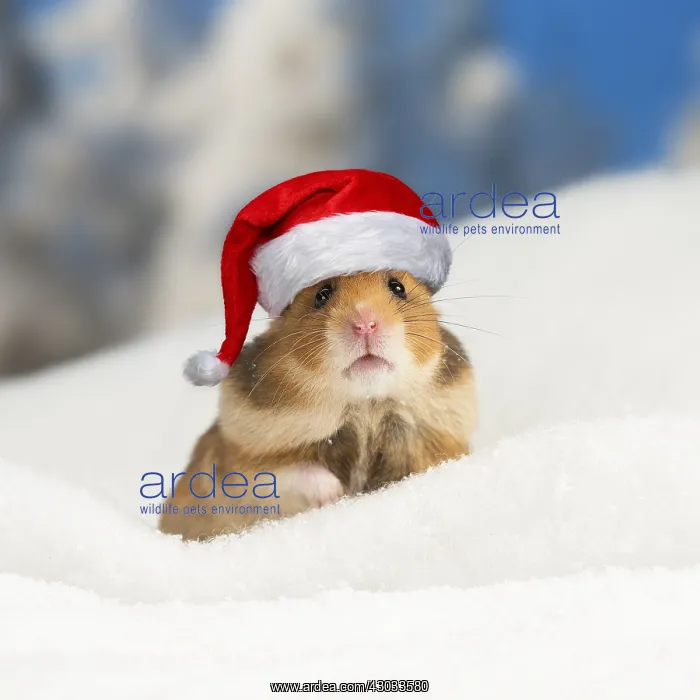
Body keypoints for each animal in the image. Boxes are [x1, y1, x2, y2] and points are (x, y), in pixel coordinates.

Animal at [159, 269, 476, 541]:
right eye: (322, 294)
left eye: (398, 287)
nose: (365, 324)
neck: (365, 407)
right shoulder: (238, 468)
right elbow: (292, 474)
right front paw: (337, 496)